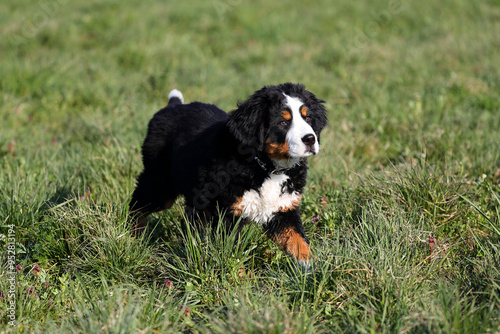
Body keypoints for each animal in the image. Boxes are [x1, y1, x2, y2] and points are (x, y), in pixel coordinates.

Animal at [130, 83, 328, 268]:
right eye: (283, 122)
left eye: (308, 118)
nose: (310, 139)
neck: (267, 168)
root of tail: (173, 106)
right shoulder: (228, 215)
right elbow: (232, 254)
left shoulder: (284, 209)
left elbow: (299, 243)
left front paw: (313, 271)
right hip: (160, 184)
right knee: (137, 206)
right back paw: (132, 238)